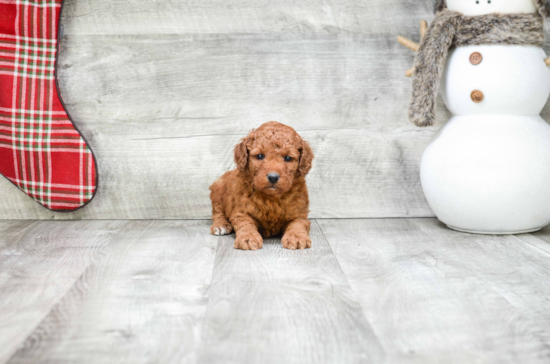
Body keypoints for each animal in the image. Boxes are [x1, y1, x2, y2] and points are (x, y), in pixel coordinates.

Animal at [210, 122, 314, 250]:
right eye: (259, 156)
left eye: (288, 158)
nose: (273, 177)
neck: (272, 198)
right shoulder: (241, 211)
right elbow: (245, 223)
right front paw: (248, 237)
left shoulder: (299, 212)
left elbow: (298, 223)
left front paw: (297, 237)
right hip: (218, 189)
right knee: (217, 212)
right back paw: (221, 225)